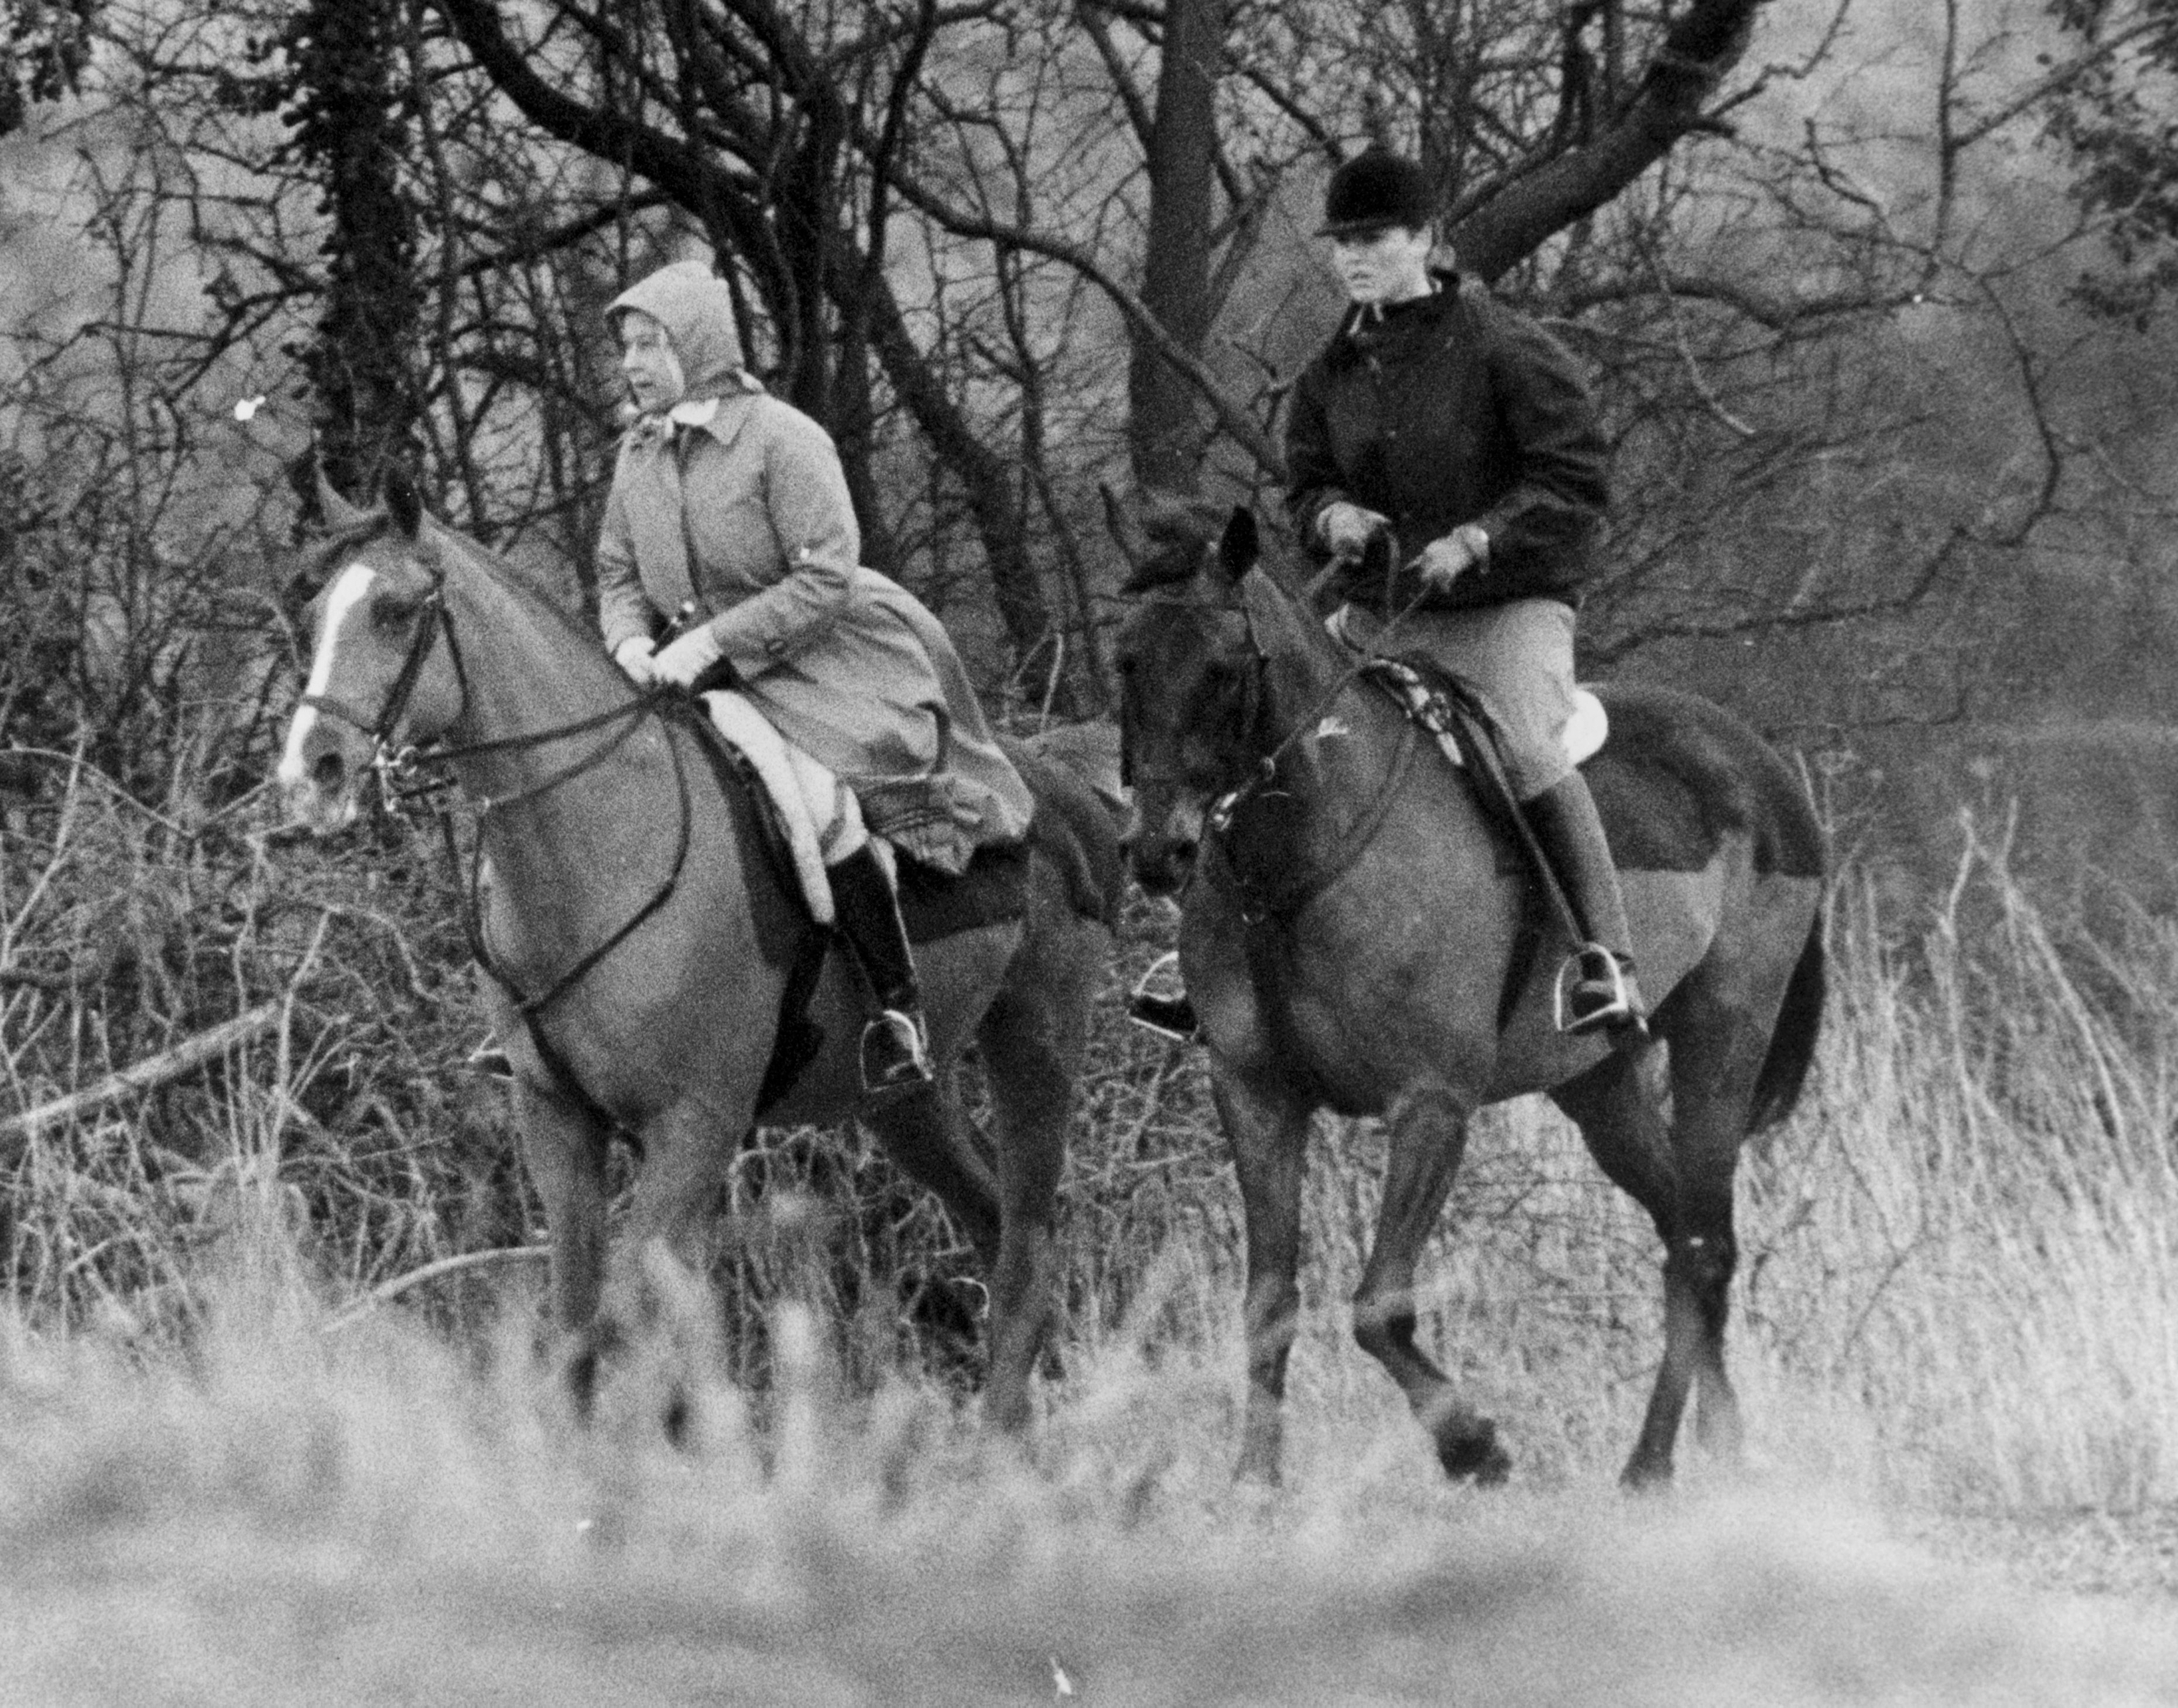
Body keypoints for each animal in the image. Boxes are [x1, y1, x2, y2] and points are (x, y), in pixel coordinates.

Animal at [276, 473, 1124, 1420]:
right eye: (312, 614)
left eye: (393, 611)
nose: (309, 775)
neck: (604, 843)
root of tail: (1058, 779)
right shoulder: (559, 1121)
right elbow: (578, 1333)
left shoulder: (693, 1126)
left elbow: (622, 1326)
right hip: (902, 1098)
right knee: (989, 1217)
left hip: (1035, 1044)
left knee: (1029, 1244)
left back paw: (1001, 1429)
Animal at [1115, 501, 1829, 1490]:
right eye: (1126, 660)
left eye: (1223, 670)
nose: (1158, 851)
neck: (1301, 857)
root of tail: (1764, 772)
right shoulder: (1257, 1098)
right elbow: (1268, 1302)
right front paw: (1255, 1482)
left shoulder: (1431, 1104)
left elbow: (1380, 1306)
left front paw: (1473, 1444)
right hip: (1597, 1086)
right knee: (1682, 1233)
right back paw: (1715, 1451)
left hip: (1724, 1039)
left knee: (1702, 1247)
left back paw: (1651, 1465)